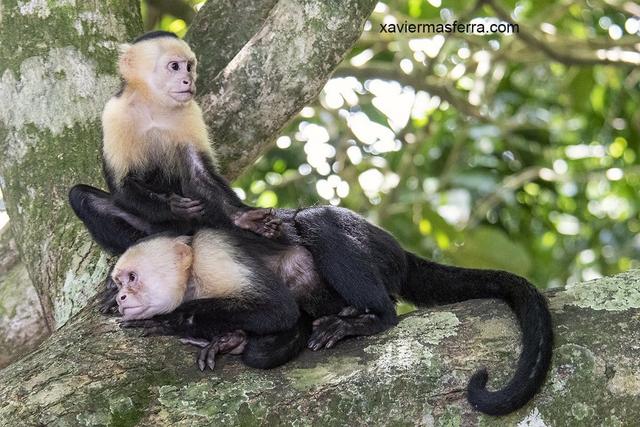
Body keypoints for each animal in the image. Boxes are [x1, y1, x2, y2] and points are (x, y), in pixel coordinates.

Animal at [67, 30, 552, 418]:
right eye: (174, 67)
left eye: (186, 66)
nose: (187, 80)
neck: (156, 108)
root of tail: (397, 249)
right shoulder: (117, 117)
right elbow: (125, 188)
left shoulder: (195, 140)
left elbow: (273, 303)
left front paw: (180, 318)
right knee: (84, 198)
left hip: (379, 255)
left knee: (319, 223)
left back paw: (368, 317)